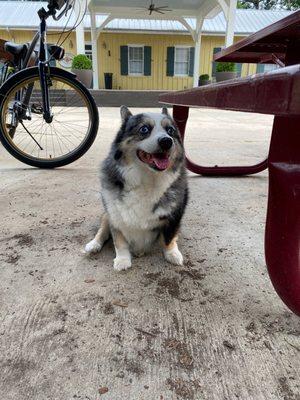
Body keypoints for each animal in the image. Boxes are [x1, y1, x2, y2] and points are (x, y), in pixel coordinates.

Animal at [84, 104, 188, 270]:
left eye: (170, 131)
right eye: (144, 129)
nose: (167, 141)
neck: (147, 179)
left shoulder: (175, 216)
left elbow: (169, 237)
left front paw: (172, 254)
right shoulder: (115, 215)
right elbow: (119, 241)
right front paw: (122, 260)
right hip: (106, 214)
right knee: (102, 231)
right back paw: (93, 245)